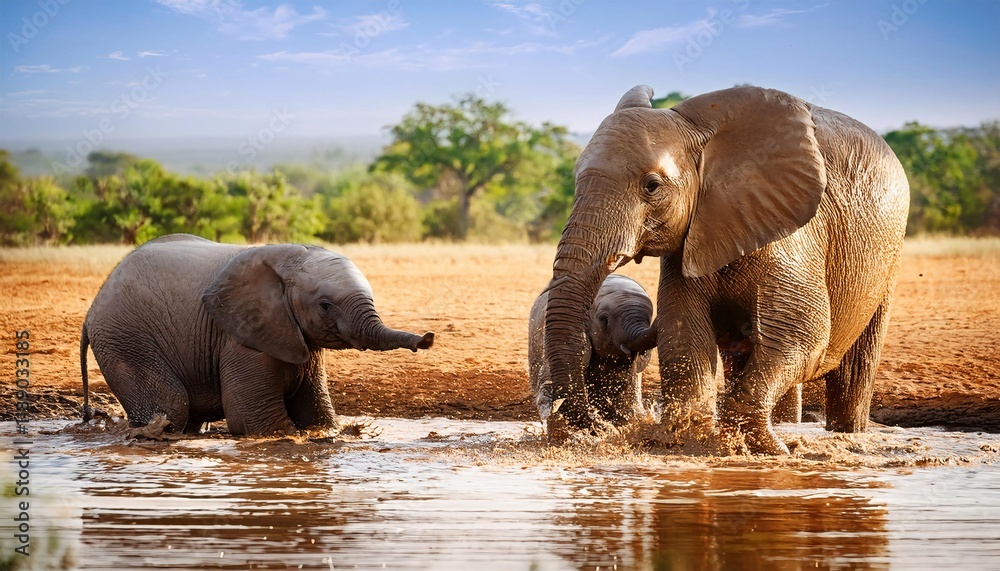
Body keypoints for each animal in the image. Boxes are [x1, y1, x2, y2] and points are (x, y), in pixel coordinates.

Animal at [80, 233, 434, 436]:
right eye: (325, 305)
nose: (427, 338)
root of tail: (94, 304)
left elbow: (317, 414)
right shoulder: (241, 336)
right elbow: (253, 422)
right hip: (125, 339)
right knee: (173, 406)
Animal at [542, 85, 909, 454]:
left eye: (652, 186)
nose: (592, 426)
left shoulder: (793, 229)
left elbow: (801, 332)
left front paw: (764, 449)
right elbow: (684, 334)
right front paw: (689, 441)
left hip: (888, 253)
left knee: (856, 361)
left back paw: (847, 433)